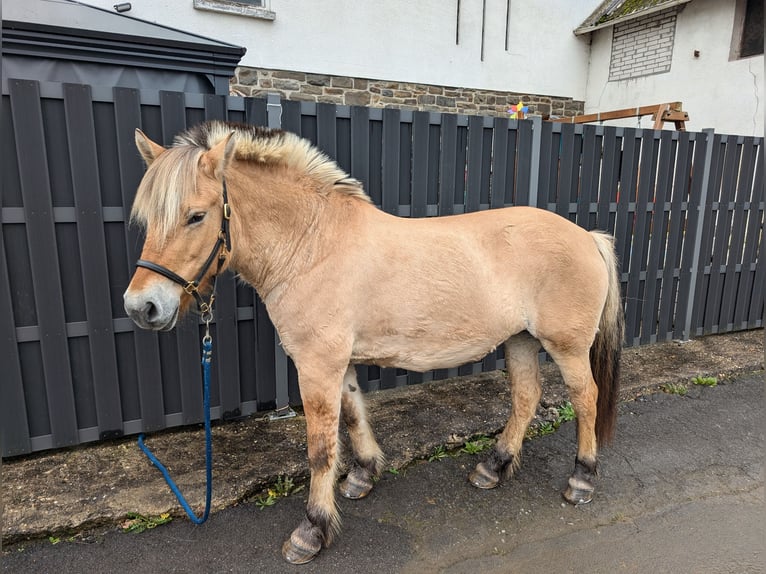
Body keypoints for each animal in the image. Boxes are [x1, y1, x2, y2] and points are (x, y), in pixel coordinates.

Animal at [124, 121, 624, 568]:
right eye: (148, 219)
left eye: (196, 215)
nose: (141, 306)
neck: (311, 245)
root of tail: (589, 237)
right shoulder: (337, 363)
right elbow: (352, 417)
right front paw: (362, 476)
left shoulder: (317, 366)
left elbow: (320, 448)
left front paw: (312, 530)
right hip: (520, 340)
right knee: (526, 398)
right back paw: (493, 468)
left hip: (566, 347)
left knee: (586, 399)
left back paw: (582, 478)